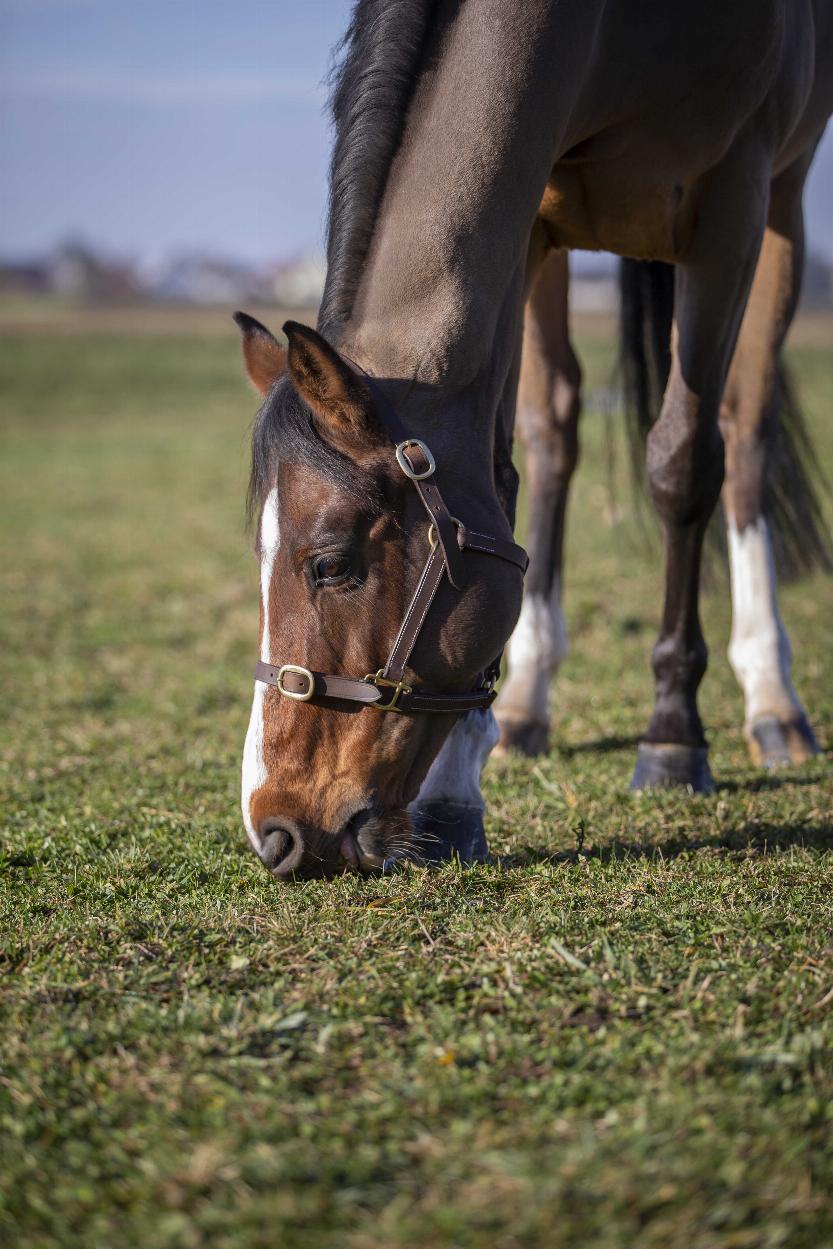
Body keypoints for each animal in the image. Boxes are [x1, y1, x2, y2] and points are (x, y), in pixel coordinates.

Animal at [234, 0, 833, 879]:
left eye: (330, 565)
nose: (272, 829)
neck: (619, 36)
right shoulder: (526, 223)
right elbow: (503, 474)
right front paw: (456, 793)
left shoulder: (732, 202)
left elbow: (684, 462)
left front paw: (672, 735)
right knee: (554, 433)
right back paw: (525, 705)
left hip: (780, 207)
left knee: (744, 432)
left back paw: (770, 697)